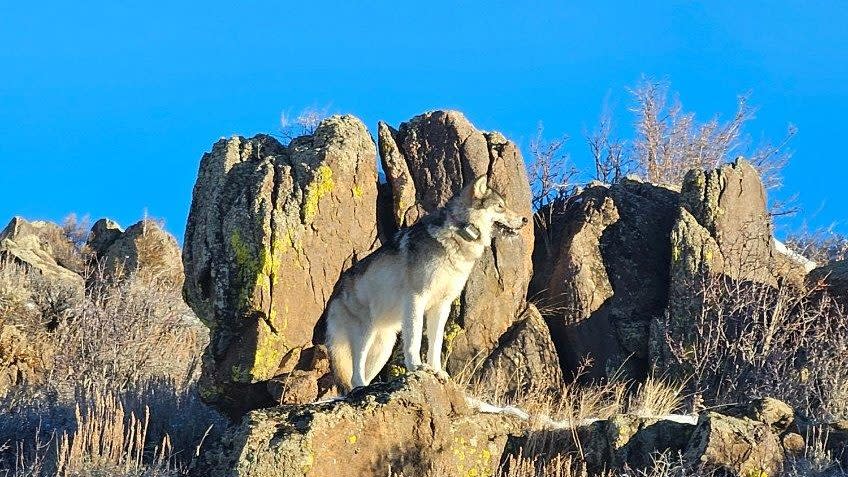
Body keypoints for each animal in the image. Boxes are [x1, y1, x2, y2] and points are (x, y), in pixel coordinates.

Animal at [322, 175, 524, 390]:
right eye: (500, 206)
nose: (525, 220)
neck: (457, 235)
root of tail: (335, 293)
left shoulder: (442, 306)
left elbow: (435, 343)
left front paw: (437, 371)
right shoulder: (416, 299)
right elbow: (415, 338)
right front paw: (417, 366)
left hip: (383, 347)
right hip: (365, 333)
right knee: (354, 375)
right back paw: (361, 387)